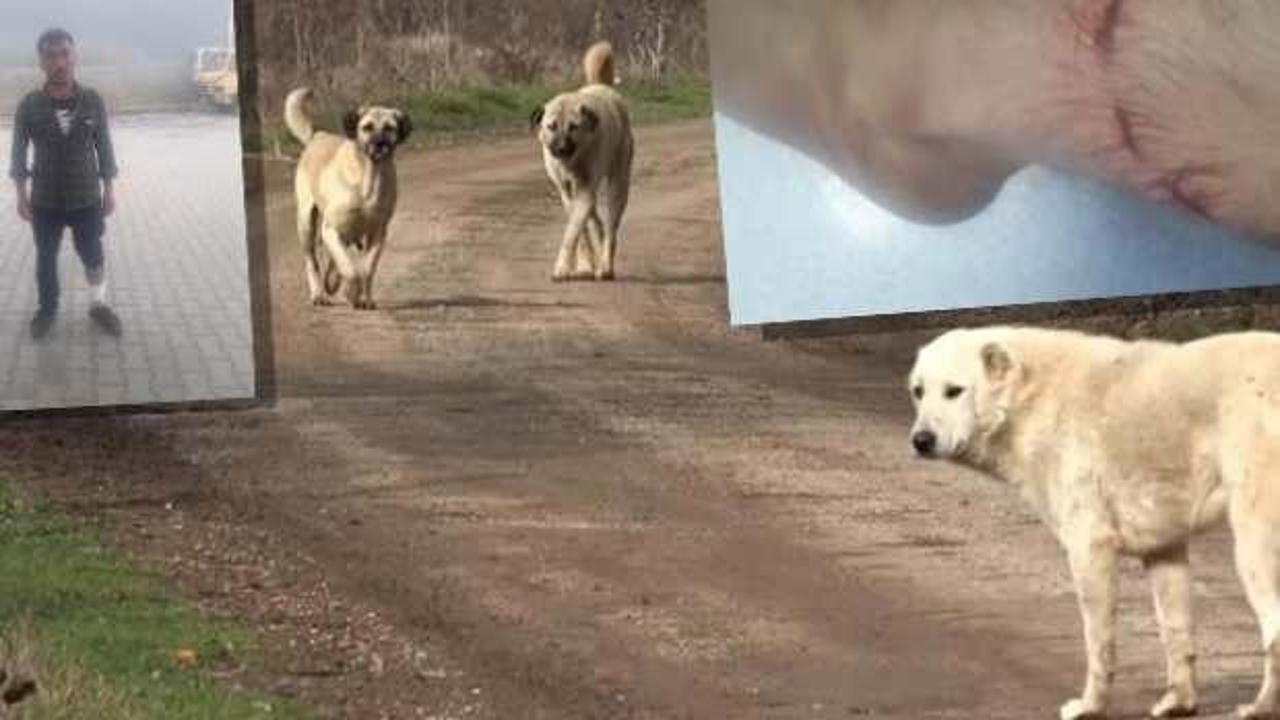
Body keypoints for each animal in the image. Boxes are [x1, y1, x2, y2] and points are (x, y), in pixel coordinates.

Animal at [288, 86, 412, 304]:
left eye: (390, 128)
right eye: (367, 127)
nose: (380, 144)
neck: (369, 177)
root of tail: (318, 134)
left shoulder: (378, 234)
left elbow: (367, 268)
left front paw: (365, 299)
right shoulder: (331, 229)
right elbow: (350, 269)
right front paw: (351, 292)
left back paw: (332, 281)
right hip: (306, 223)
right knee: (313, 261)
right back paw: (319, 293)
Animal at [527, 39, 632, 280]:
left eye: (574, 127)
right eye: (551, 126)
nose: (561, 148)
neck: (573, 161)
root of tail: (604, 87)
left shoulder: (584, 191)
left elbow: (571, 232)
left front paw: (563, 267)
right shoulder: (567, 192)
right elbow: (580, 232)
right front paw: (583, 266)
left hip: (618, 185)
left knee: (611, 227)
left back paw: (605, 266)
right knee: (596, 220)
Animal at [911, 325, 1280, 717]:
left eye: (953, 390)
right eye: (918, 391)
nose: (920, 440)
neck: (1031, 396)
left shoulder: (1089, 544)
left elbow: (1097, 639)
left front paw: (1091, 705)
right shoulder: (1163, 545)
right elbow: (1175, 628)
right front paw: (1179, 701)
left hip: (1254, 544)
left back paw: (1261, 707)